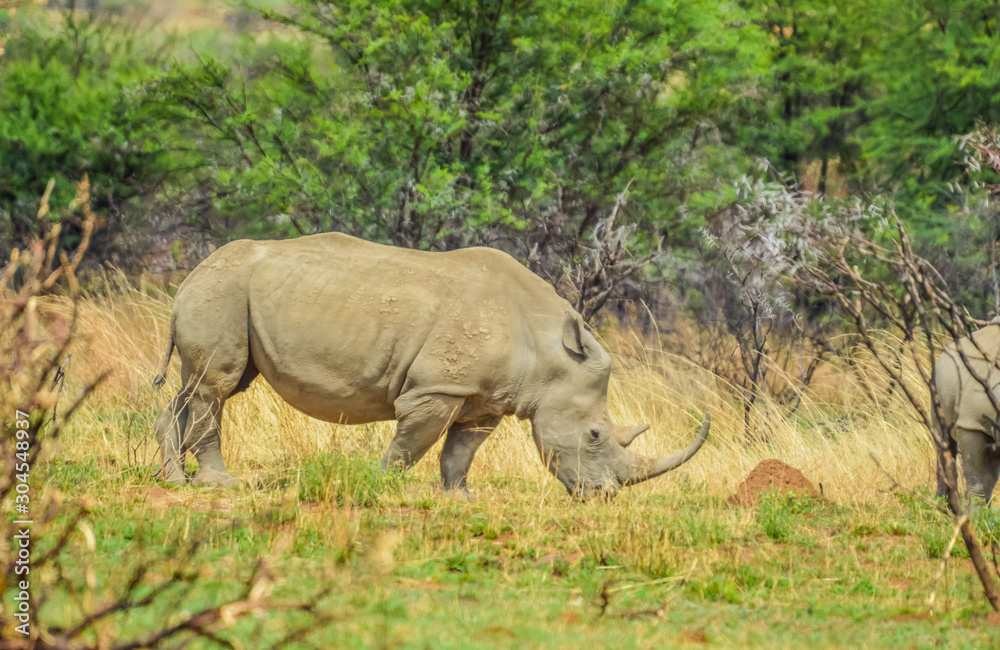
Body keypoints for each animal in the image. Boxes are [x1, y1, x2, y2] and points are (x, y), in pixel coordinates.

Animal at [153, 233, 709, 499]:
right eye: (594, 435)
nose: (603, 496)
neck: (549, 352)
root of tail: (190, 276)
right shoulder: (437, 387)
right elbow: (412, 443)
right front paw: (379, 485)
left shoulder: (485, 399)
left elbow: (460, 452)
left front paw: (462, 499)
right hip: (222, 291)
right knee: (217, 386)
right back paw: (220, 486)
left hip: (227, 291)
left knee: (197, 387)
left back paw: (173, 482)